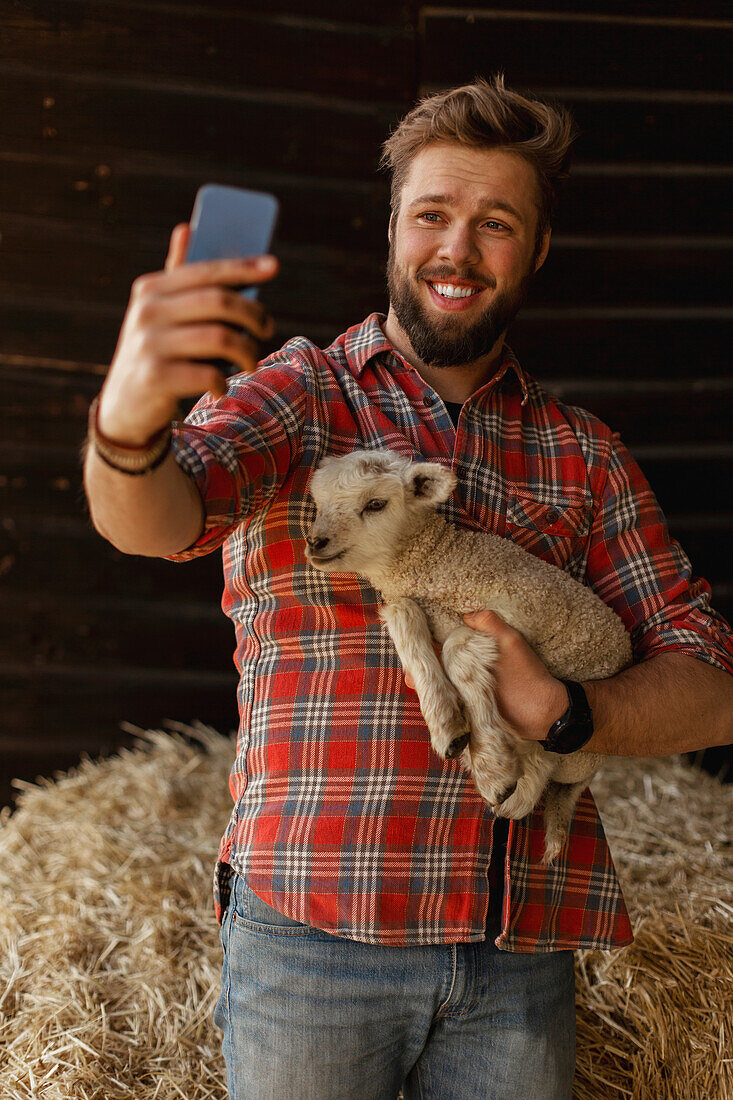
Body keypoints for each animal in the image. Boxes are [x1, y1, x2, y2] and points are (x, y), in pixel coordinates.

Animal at [301, 444, 629, 858]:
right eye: (319, 502)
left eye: (375, 504)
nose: (316, 542)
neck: (440, 563)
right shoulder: (414, 605)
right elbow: (404, 620)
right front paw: (449, 729)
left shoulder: (515, 611)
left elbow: (457, 650)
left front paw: (489, 763)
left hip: (580, 746)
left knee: (553, 774)